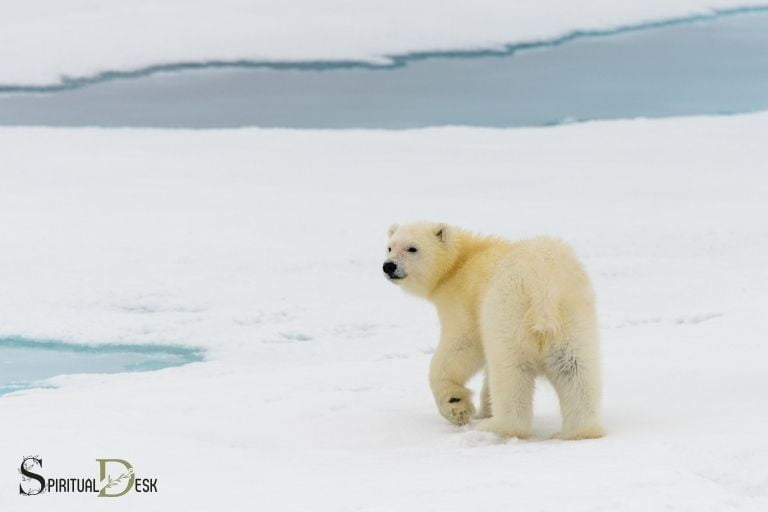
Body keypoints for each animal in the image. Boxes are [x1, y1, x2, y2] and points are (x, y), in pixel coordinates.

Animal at [380, 221, 604, 440]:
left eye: (412, 248)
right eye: (389, 247)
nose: (389, 266)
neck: (461, 261)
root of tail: (543, 288)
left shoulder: (464, 303)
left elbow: (462, 346)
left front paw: (457, 406)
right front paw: (484, 409)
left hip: (509, 314)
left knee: (511, 372)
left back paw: (494, 426)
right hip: (572, 317)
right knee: (574, 369)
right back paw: (579, 431)